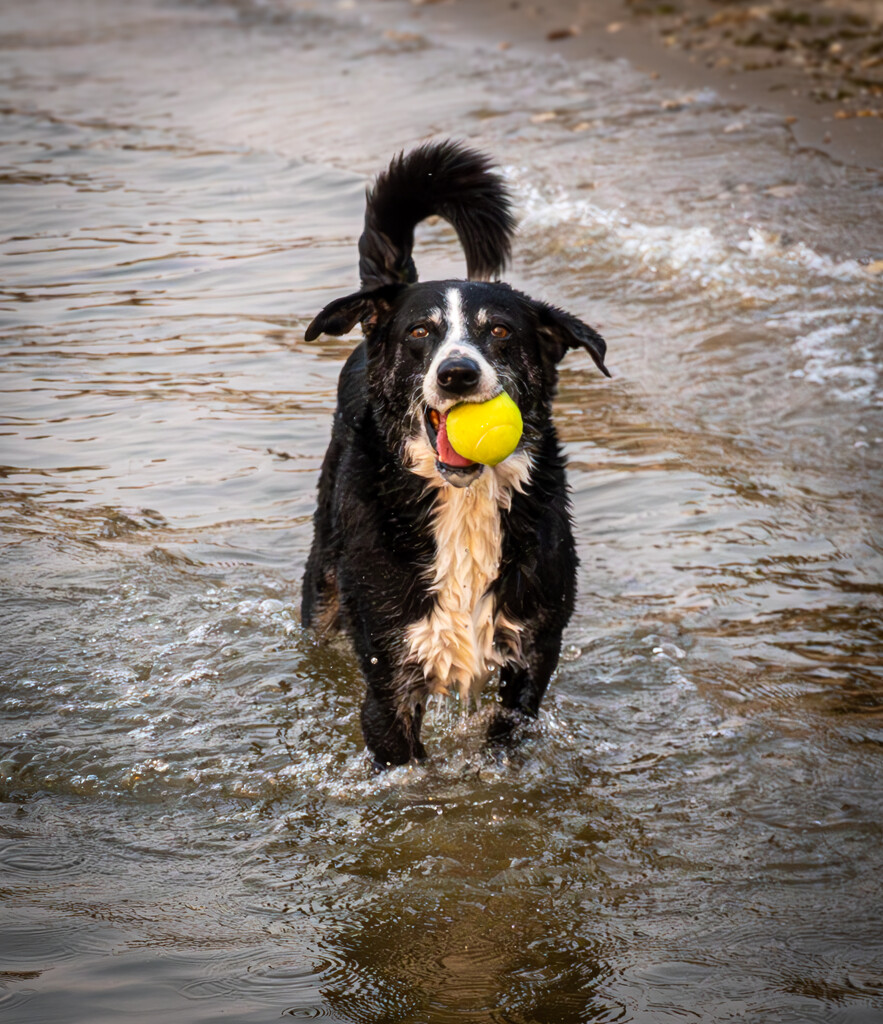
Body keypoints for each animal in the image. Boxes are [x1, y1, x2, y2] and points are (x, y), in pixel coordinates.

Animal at [303, 142, 606, 770]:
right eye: (421, 331)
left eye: (500, 332)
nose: (458, 373)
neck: (464, 508)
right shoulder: (388, 681)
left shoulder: (530, 660)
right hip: (323, 587)